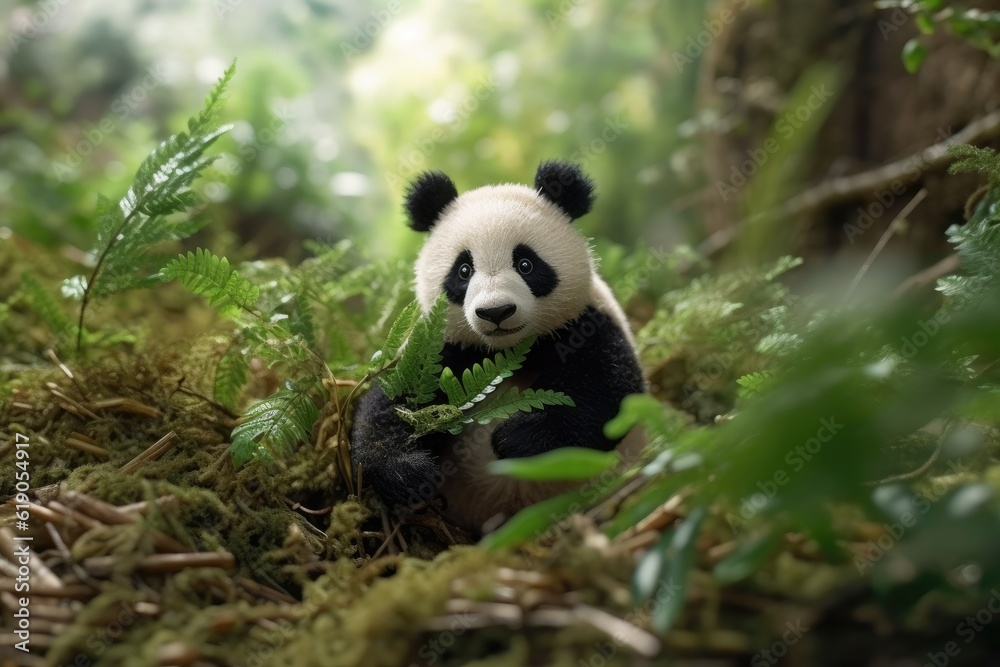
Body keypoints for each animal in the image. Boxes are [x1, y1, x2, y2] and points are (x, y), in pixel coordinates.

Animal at [350, 160, 646, 532]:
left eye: (526, 264)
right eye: (464, 270)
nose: (496, 312)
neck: (504, 350)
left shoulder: (586, 322)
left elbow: (608, 393)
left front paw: (517, 437)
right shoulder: (438, 345)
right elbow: (390, 405)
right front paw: (409, 473)